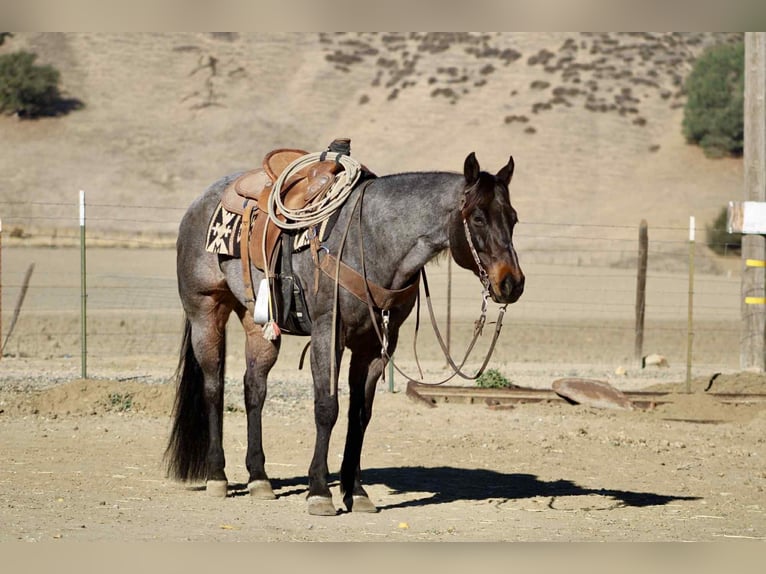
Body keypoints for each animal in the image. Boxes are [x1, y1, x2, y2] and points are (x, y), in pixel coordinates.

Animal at [164, 148, 525, 515]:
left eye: (513, 218)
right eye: (478, 218)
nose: (512, 283)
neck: (371, 239)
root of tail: (199, 202)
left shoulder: (376, 345)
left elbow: (360, 414)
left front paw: (357, 492)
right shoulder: (328, 333)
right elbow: (327, 408)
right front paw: (320, 492)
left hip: (257, 322)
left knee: (254, 388)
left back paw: (259, 479)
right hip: (206, 311)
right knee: (213, 387)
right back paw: (217, 477)